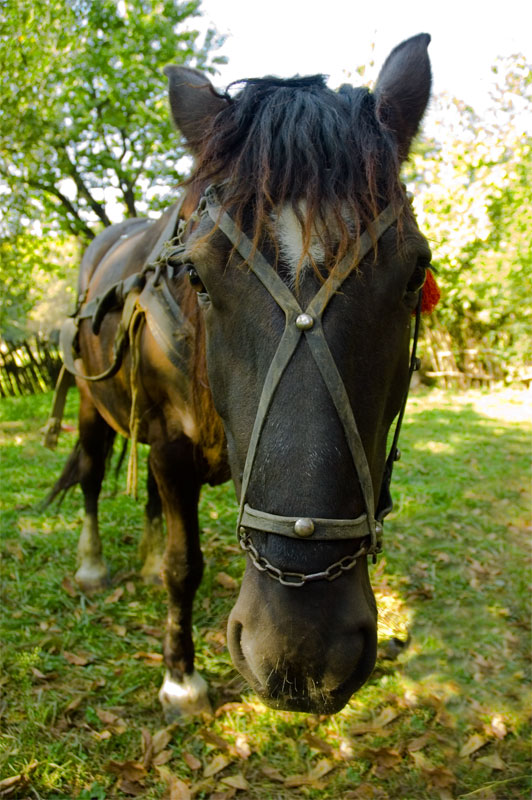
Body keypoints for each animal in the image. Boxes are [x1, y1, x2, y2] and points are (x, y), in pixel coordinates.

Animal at [47, 32, 434, 720]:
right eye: (197, 276)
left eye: (416, 273)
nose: (300, 650)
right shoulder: (170, 447)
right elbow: (184, 565)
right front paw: (180, 678)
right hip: (94, 402)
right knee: (91, 472)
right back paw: (94, 566)